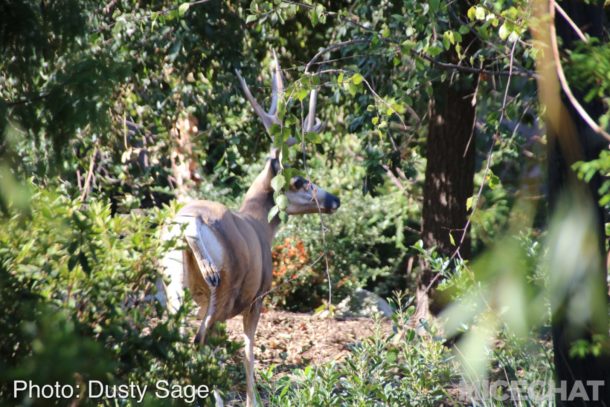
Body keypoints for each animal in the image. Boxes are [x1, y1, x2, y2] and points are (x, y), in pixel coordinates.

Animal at [156, 55, 338, 407]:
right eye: (299, 181)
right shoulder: (259, 296)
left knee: (178, 335)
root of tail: (186, 221)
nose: (333, 199)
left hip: (173, 282)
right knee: (200, 338)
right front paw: (252, 399)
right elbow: (248, 351)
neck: (259, 225)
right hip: (223, 288)